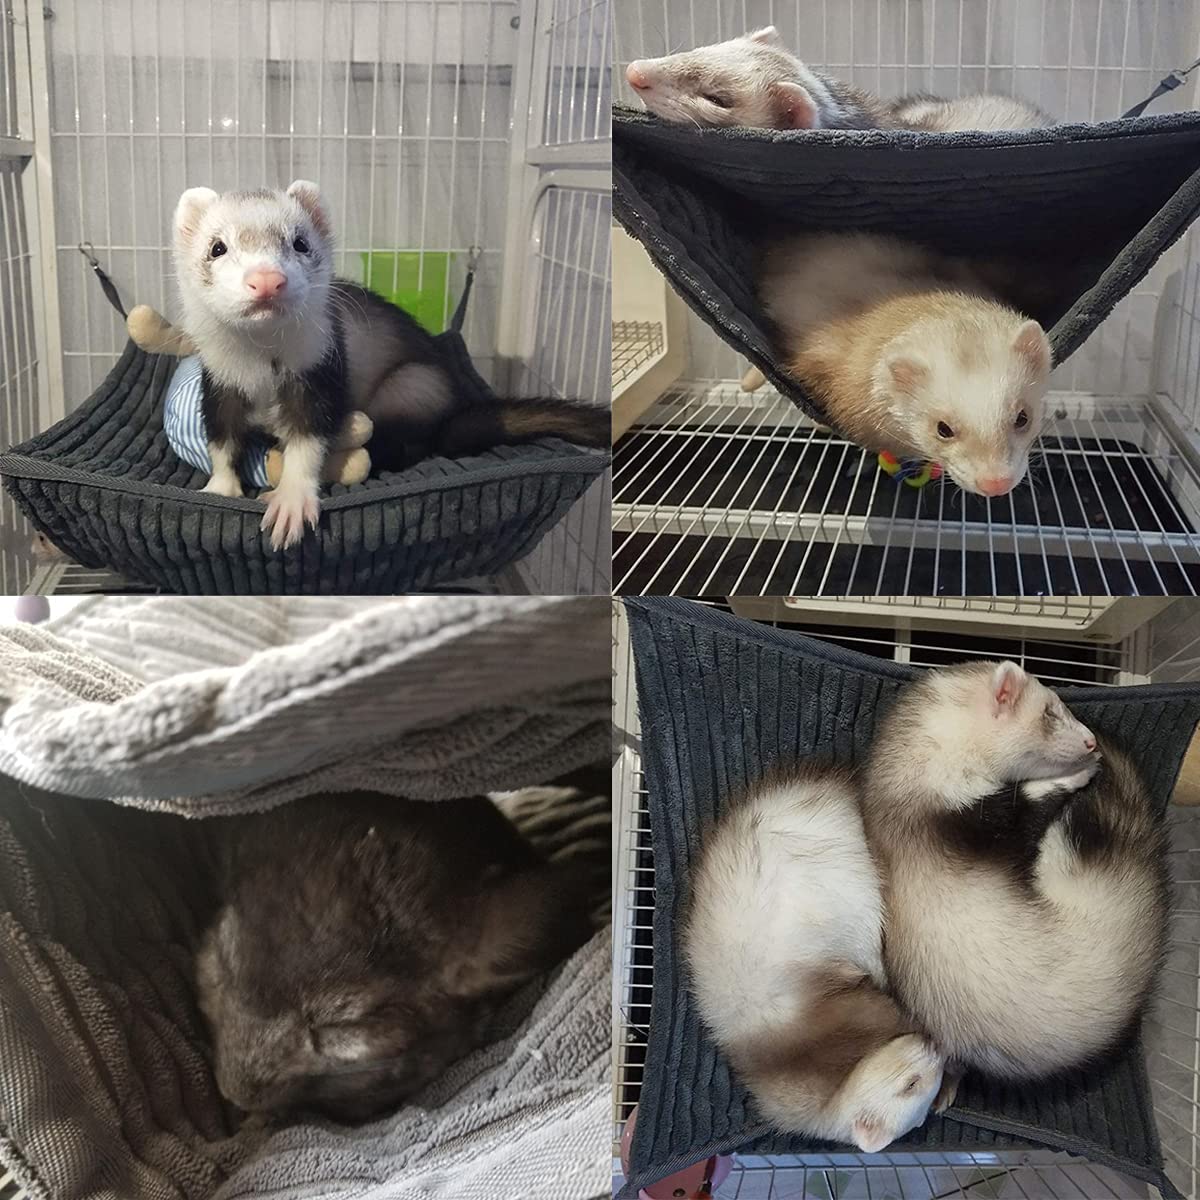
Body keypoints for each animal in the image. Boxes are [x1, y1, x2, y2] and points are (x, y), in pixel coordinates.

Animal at [173, 182, 608, 549]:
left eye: (300, 242)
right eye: (217, 247)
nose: (266, 279)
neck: (262, 366)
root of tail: (450, 417)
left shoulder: (319, 376)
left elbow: (308, 442)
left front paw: (291, 501)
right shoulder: (219, 384)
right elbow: (222, 440)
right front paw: (220, 489)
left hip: (412, 383)